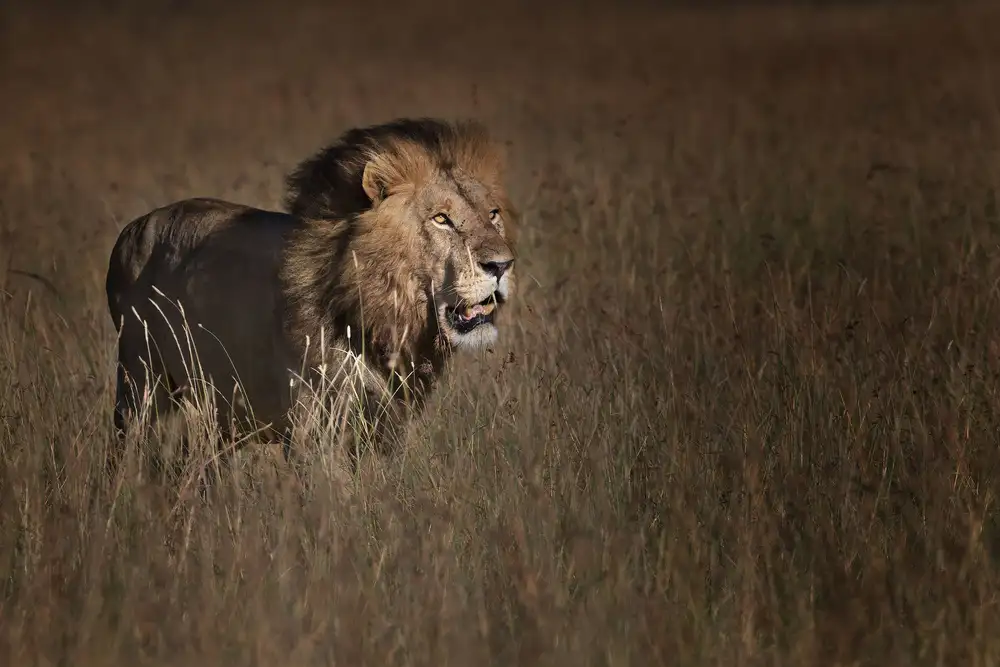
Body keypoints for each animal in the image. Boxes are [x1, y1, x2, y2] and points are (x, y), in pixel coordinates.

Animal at [106, 117, 517, 466]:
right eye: (441, 219)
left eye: (493, 214)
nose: (501, 265)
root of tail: (131, 229)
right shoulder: (313, 430)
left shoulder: (386, 426)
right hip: (140, 385)